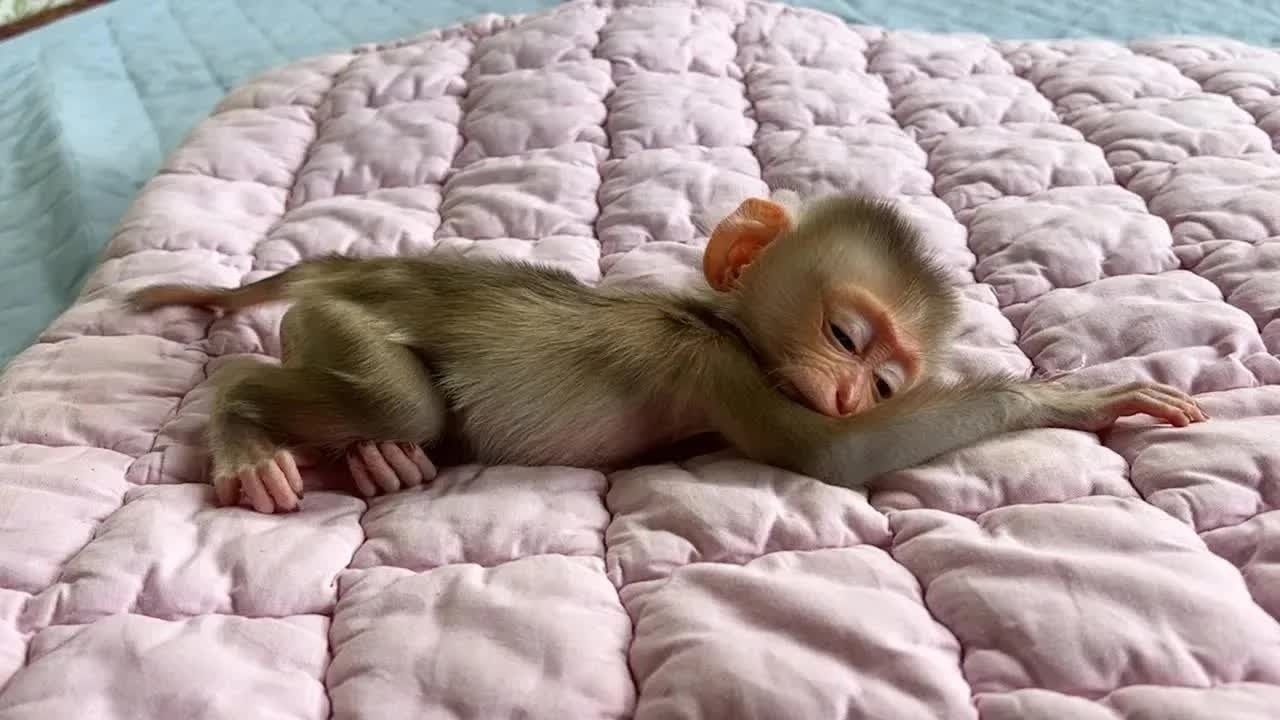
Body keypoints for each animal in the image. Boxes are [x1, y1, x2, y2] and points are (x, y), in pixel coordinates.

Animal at [128, 194, 1206, 513]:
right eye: (846, 337)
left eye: (886, 379)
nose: (853, 393)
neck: (714, 318)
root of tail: (367, 276)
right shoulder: (714, 366)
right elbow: (828, 457)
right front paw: (1073, 394)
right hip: (342, 324)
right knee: (382, 398)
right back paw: (244, 424)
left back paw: (370, 458)